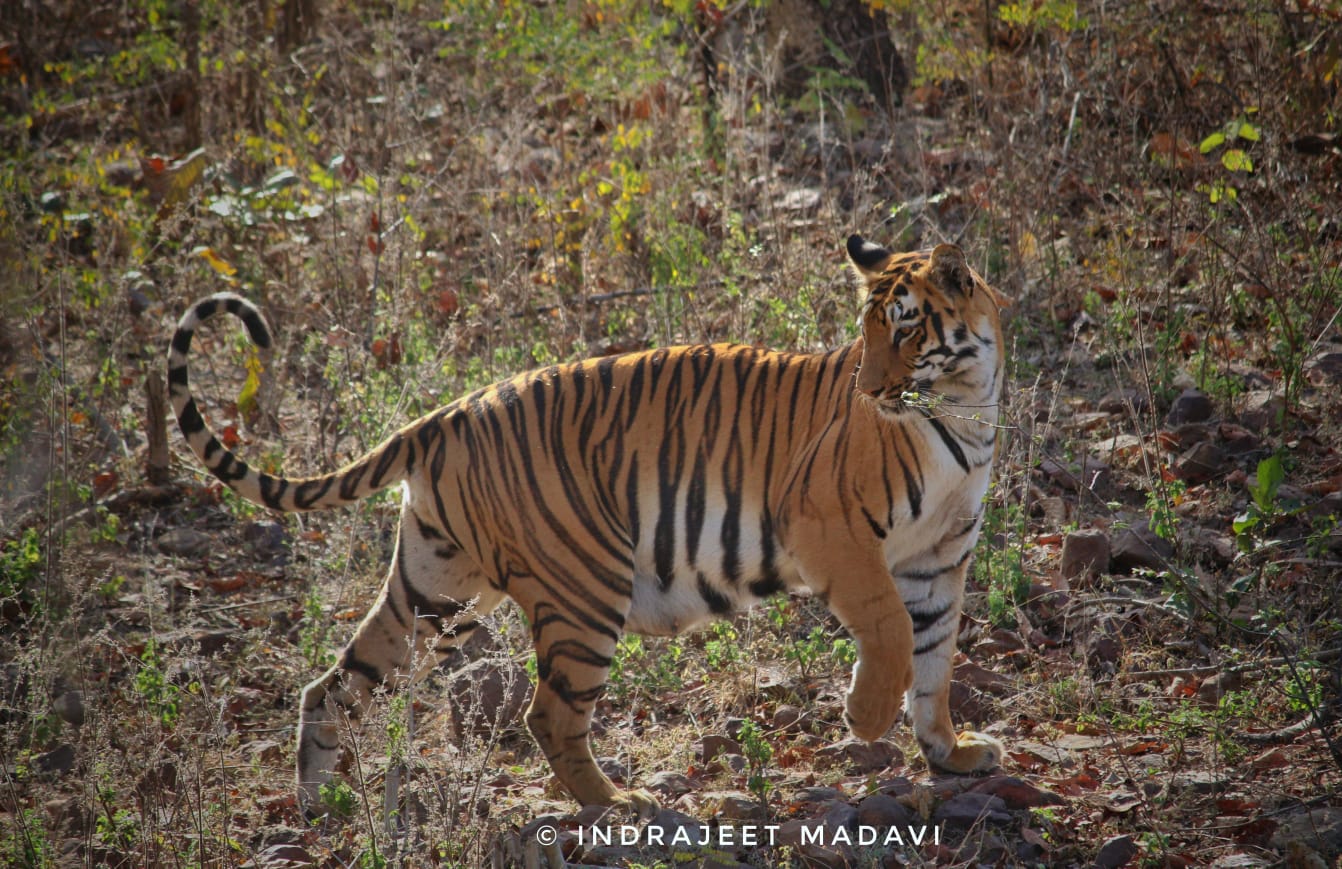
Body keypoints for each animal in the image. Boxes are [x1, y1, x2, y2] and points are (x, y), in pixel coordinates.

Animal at [165, 234, 1009, 820]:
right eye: (867, 332)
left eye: (904, 329)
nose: (868, 388)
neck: (967, 405)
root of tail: (445, 414)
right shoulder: (830, 526)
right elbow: (892, 630)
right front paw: (866, 717)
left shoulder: (940, 560)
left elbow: (936, 659)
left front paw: (952, 753)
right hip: (585, 587)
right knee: (549, 713)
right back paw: (615, 802)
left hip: (434, 585)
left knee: (336, 681)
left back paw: (322, 800)